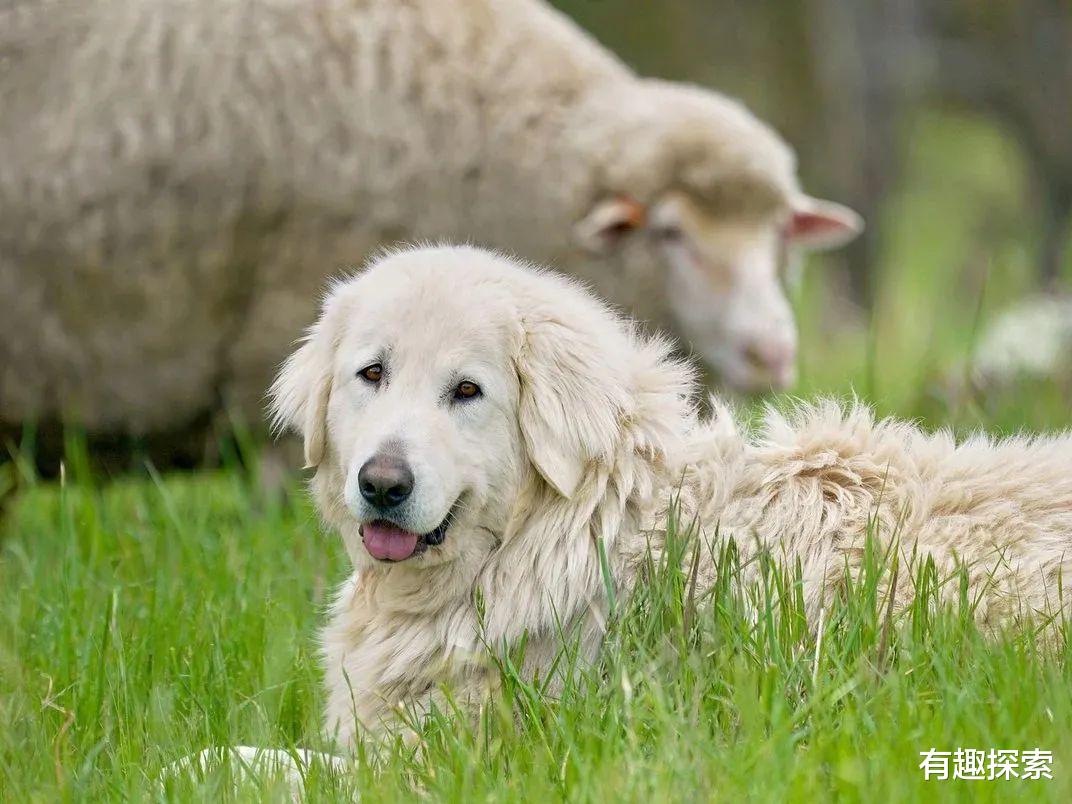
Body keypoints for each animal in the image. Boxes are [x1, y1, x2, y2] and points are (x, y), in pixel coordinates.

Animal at [265, 244, 1072, 750]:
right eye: (372, 374)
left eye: (467, 391)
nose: (381, 483)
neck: (574, 524)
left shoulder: (454, 750)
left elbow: (266, 765)